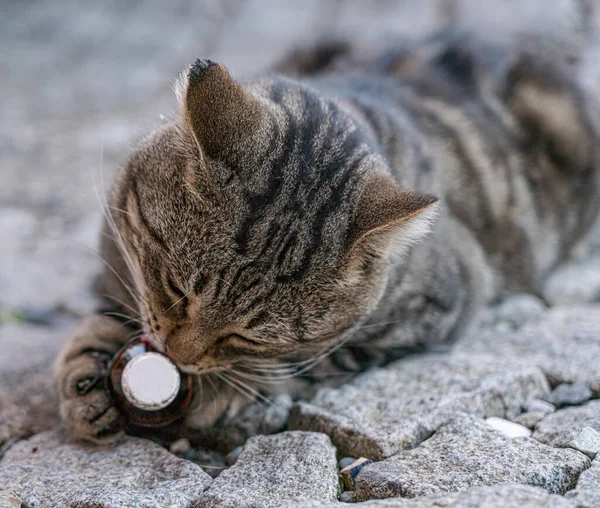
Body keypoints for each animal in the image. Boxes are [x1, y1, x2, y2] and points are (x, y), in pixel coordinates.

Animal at [56, 32, 600, 444]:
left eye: (250, 337)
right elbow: (105, 318)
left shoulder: (441, 304)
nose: (178, 356)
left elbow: (302, 365)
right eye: (174, 288)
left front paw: (217, 390)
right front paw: (87, 377)